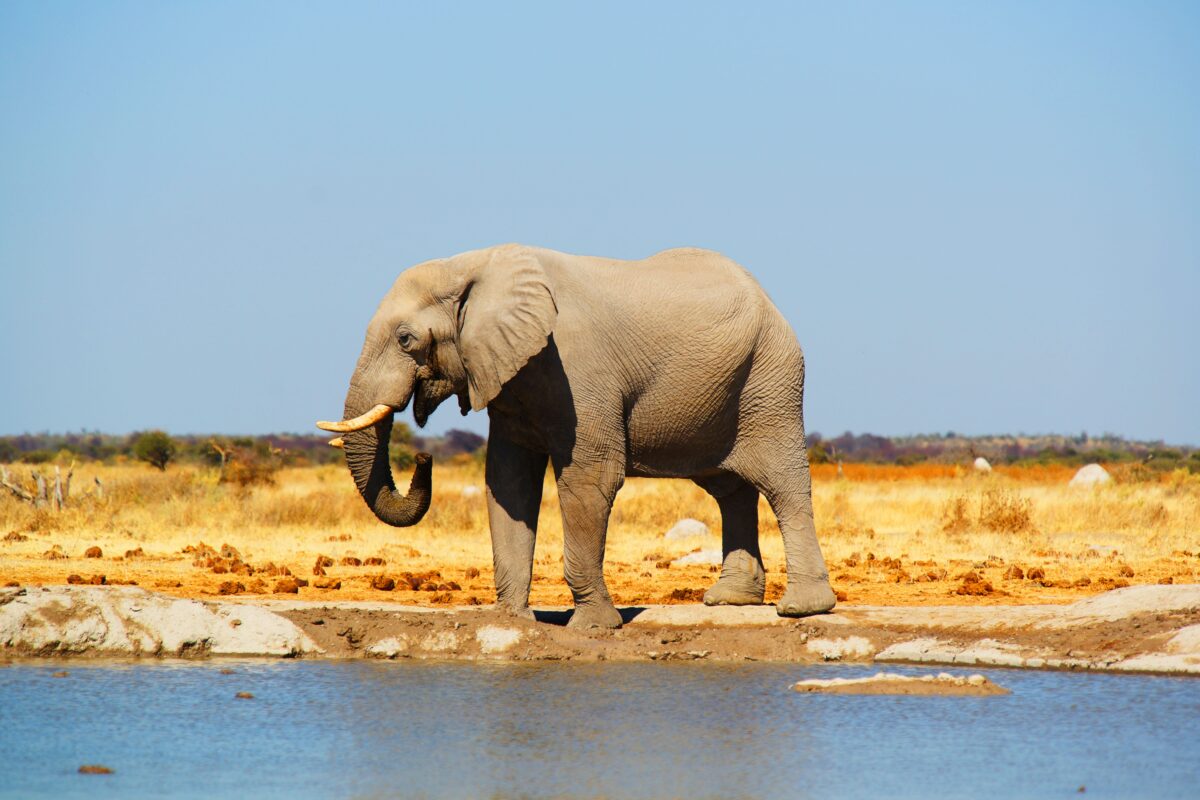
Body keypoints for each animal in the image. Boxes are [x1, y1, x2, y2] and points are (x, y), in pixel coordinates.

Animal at [317, 244, 836, 628]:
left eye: (405, 339)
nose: (424, 458)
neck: (472, 266)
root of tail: (769, 298)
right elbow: (508, 482)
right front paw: (513, 620)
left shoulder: (577, 369)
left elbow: (590, 480)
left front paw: (594, 627)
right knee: (730, 490)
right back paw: (729, 600)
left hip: (771, 380)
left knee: (784, 484)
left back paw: (801, 609)